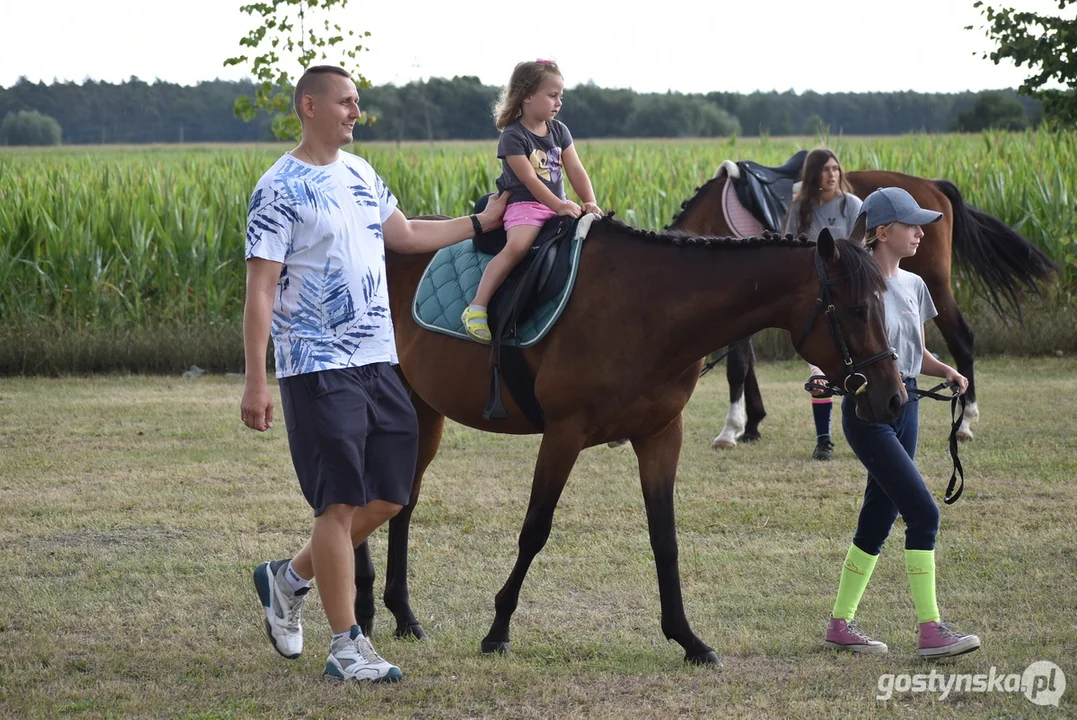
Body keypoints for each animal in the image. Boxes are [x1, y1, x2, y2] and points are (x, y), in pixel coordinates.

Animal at [351, 217, 900, 662]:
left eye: (883, 303)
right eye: (855, 309)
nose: (893, 398)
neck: (648, 310)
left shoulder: (660, 436)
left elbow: (665, 538)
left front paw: (687, 639)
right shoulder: (563, 434)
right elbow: (535, 530)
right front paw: (498, 630)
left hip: (425, 412)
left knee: (402, 503)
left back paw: (400, 615)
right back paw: (364, 608)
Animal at [672, 171, 1059, 445]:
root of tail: (931, 185)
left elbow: (737, 366)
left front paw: (731, 429)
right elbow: (748, 364)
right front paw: (751, 424)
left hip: (936, 283)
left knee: (962, 338)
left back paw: (965, 421)